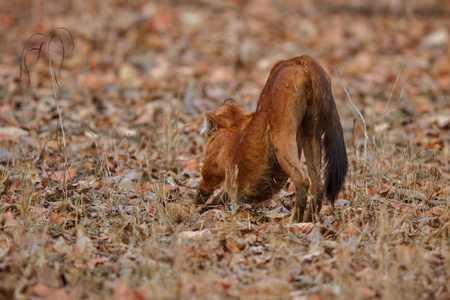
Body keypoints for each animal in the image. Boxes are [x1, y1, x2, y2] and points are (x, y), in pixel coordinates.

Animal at [194, 55, 348, 221]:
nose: (228, 99)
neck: (233, 131)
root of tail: (293, 59)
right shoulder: (230, 188)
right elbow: (220, 197)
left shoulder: (210, 175)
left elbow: (201, 193)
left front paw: (195, 210)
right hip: (311, 134)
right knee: (318, 183)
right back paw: (308, 220)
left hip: (282, 136)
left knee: (302, 180)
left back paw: (293, 221)